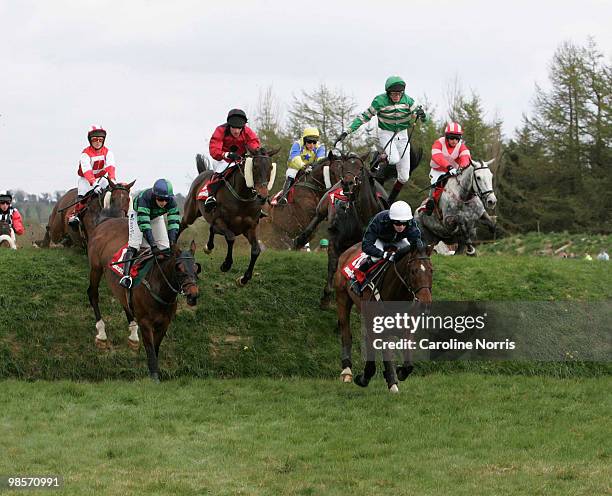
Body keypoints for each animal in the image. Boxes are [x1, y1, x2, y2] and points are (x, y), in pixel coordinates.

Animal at [86, 215, 200, 382]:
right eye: (179, 267)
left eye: (196, 267)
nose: (193, 294)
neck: (159, 288)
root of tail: (105, 222)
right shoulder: (146, 323)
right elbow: (151, 349)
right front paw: (154, 378)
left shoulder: (164, 323)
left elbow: (156, 348)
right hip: (95, 268)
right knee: (93, 294)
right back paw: (101, 334)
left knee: (125, 301)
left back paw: (133, 336)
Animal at [179, 147, 280, 284]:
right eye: (254, 167)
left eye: (270, 167)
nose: (262, 196)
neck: (242, 198)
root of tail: (203, 172)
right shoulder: (221, 222)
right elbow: (231, 238)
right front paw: (226, 264)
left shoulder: (250, 227)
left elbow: (256, 250)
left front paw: (244, 278)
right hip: (191, 213)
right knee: (182, 225)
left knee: (211, 229)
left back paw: (208, 247)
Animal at [332, 243, 432, 392]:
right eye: (413, 271)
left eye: (431, 270)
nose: (425, 303)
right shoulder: (380, 324)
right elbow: (385, 352)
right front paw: (386, 381)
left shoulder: (407, 326)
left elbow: (408, 364)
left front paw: (398, 372)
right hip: (342, 298)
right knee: (346, 332)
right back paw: (347, 371)